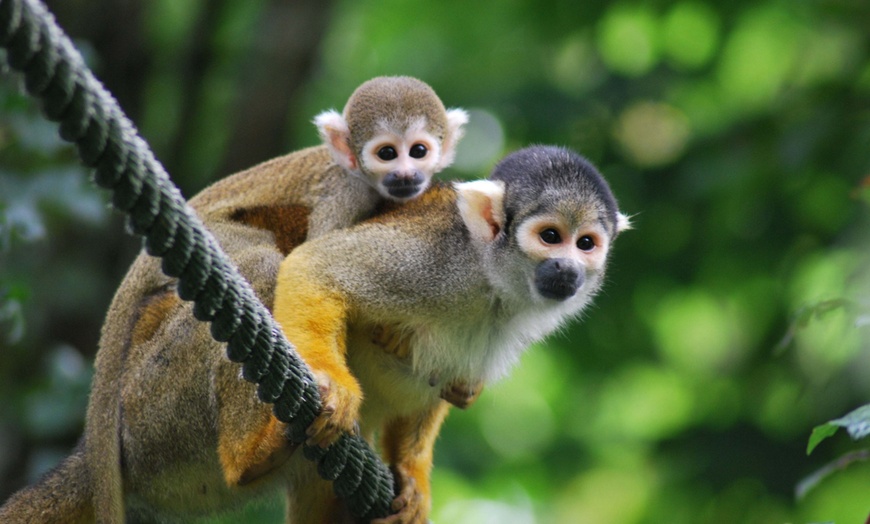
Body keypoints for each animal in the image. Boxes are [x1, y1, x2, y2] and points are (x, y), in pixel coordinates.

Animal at [0, 75, 466, 524]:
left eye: (418, 151)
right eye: (387, 153)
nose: (405, 175)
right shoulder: (346, 193)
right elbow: (313, 262)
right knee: (262, 263)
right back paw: (250, 456)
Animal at [276, 145, 632, 520]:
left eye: (586, 244)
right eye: (551, 237)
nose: (568, 267)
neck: (490, 276)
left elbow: (442, 377)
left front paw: (411, 471)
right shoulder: (434, 260)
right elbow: (317, 266)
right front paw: (333, 385)